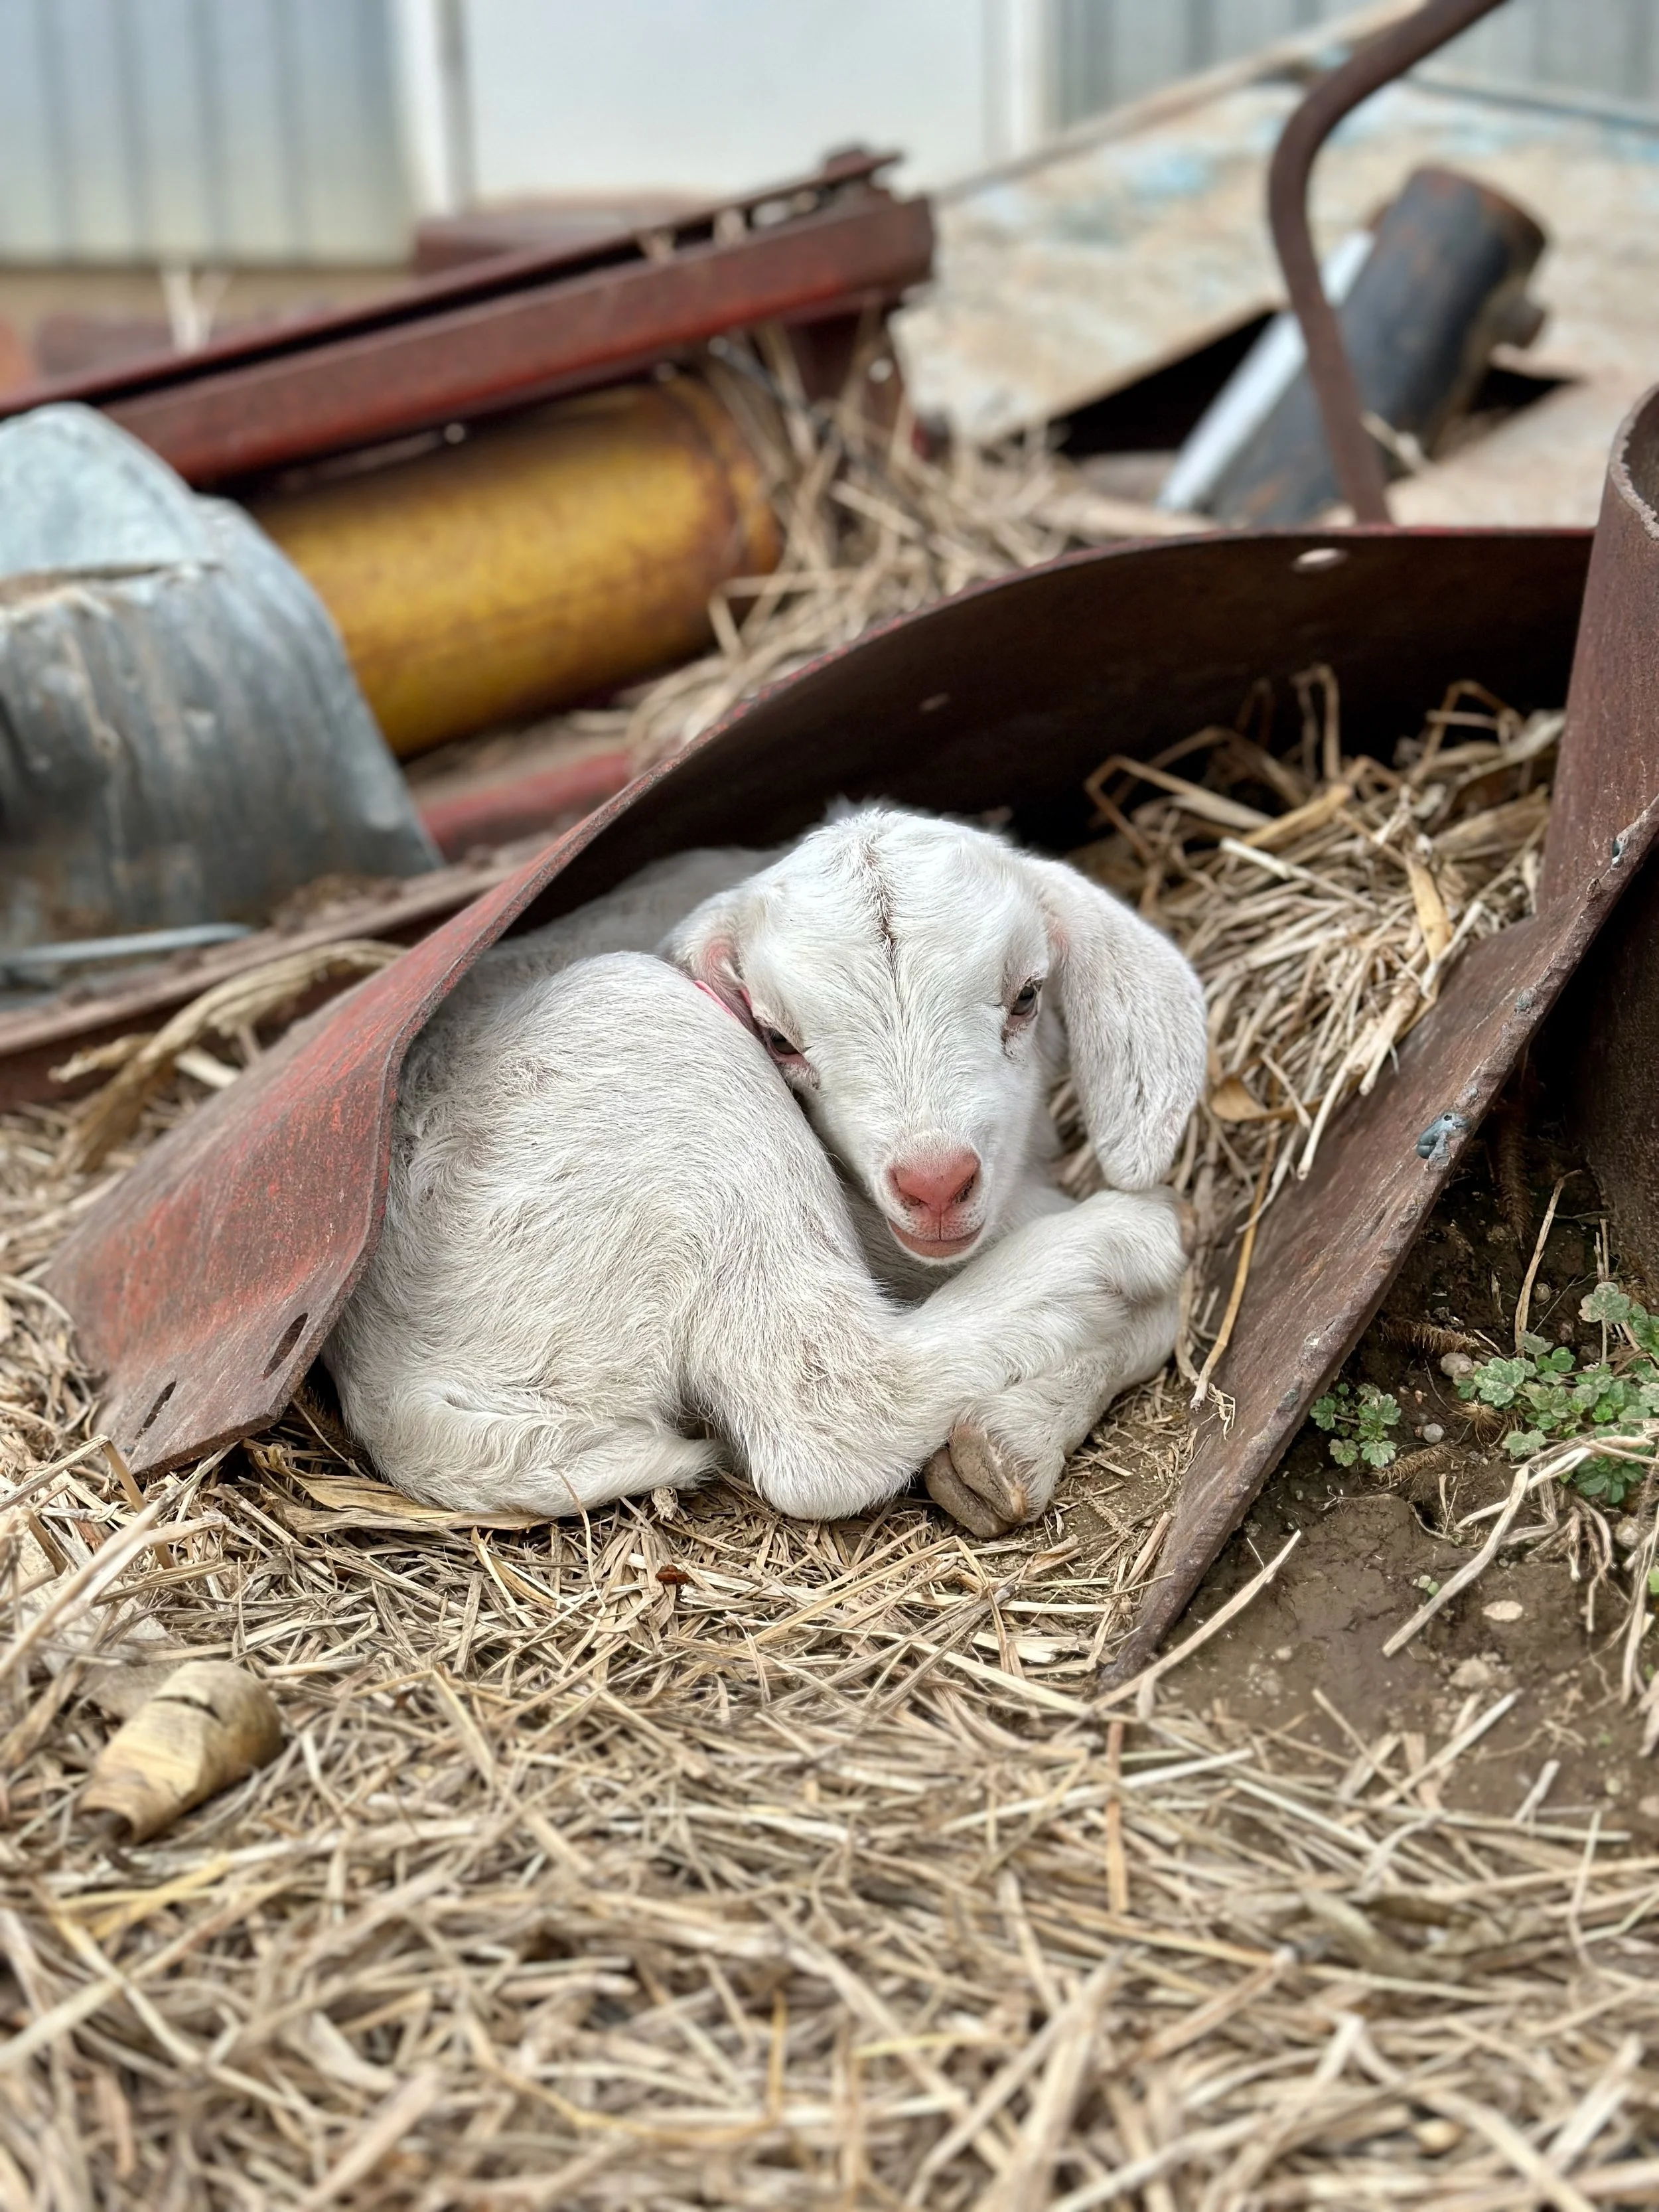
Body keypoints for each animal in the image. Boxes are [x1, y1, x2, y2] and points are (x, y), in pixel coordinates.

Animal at [325, 805, 1206, 1534]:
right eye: (778, 1039)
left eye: (1027, 996)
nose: (933, 1184)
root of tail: (410, 1408)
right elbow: (1163, 1310)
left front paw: (1005, 1443)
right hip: (677, 1086)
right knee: (831, 1414)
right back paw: (1128, 1235)